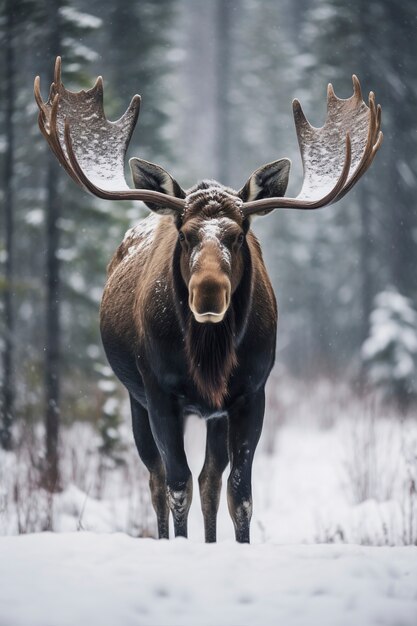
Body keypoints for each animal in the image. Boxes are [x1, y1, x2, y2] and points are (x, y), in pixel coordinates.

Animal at [34, 56, 382, 540]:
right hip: (135, 398)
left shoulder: (249, 393)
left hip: (210, 414)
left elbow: (239, 492)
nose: (209, 293)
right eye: (185, 234)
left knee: (209, 479)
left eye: (238, 234)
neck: (209, 356)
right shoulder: (158, 392)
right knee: (157, 477)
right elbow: (176, 484)